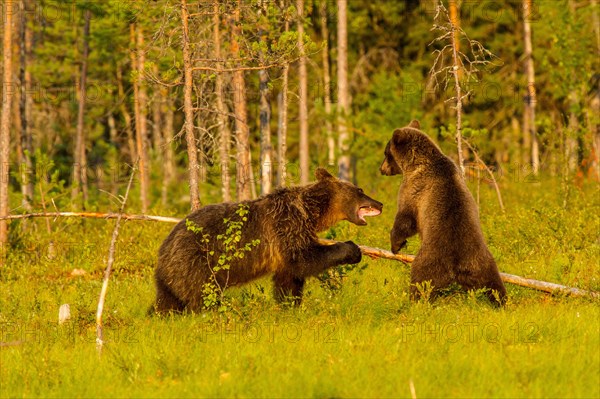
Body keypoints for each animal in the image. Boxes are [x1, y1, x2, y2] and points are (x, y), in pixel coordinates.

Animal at [152, 167, 382, 314]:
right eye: (360, 190)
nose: (380, 203)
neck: (311, 211)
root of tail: (163, 250)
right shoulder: (286, 224)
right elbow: (303, 258)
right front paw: (352, 249)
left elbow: (288, 277)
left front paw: (289, 306)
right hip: (198, 263)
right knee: (203, 295)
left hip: (172, 278)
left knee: (167, 302)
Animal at [380, 121, 506, 306]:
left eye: (386, 152)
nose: (381, 169)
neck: (415, 163)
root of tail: (457, 267)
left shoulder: (413, 189)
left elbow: (406, 218)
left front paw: (396, 245)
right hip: (482, 262)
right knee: (493, 283)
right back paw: (501, 301)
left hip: (431, 258)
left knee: (421, 279)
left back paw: (415, 301)